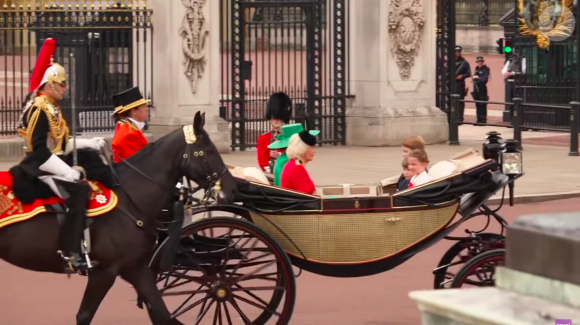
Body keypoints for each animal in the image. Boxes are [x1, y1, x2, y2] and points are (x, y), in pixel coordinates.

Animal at [0, 110, 238, 322]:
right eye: (207, 150)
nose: (231, 189)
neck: (130, 197)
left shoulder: (136, 268)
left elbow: (163, 314)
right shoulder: (104, 271)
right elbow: (84, 315)